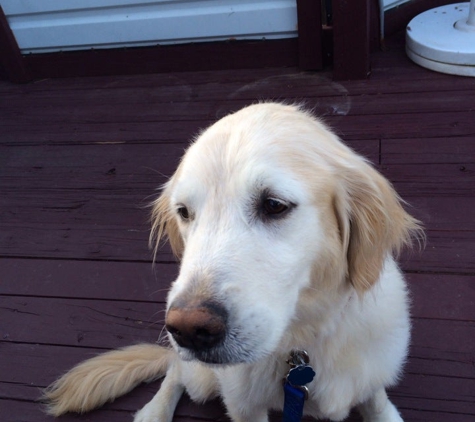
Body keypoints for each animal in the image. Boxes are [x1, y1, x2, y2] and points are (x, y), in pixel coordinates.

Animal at [44, 103, 422, 422]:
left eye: (274, 205)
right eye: (184, 212)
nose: (188, 330)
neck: (303, 344)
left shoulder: (371, 374)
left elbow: (376, 401)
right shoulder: (245, 407)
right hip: (200, 379)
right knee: (174, 370)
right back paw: (154, 412)